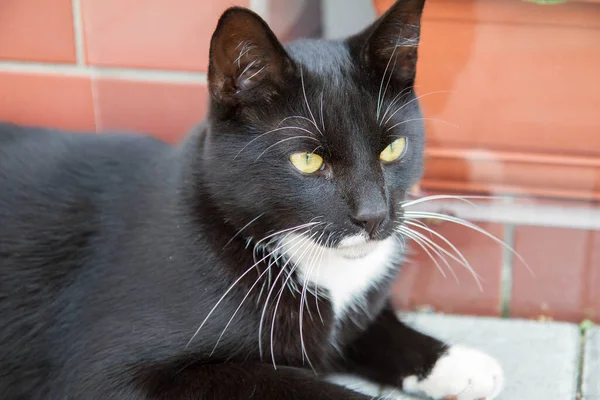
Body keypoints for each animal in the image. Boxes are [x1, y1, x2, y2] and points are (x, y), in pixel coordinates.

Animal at [1, 1, 502, 398]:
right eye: (307, 160)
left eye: (393, 148)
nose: (375, 216)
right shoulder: (112, 373)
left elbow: (371, 325)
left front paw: (460, 364)